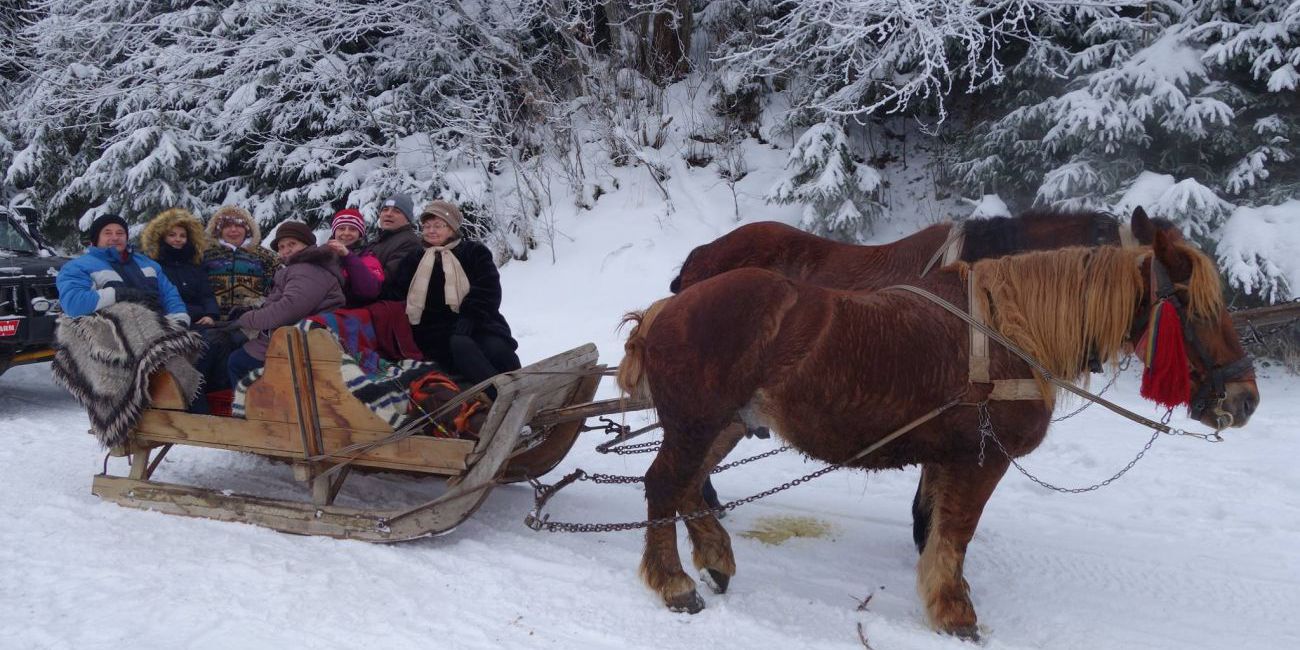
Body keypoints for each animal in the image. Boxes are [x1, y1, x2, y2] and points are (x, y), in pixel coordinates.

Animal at [618, 230, 1258, 639]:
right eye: (1193, 308)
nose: (1245, 397)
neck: (1009, 332)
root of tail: (665, 308)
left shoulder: (945, 459)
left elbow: (934, 528)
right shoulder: (981, 459)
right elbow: (954, 534)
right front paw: (955, 614)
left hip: (724, 423)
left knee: (688, 488)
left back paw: (715, 557)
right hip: (697, 424)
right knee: (664, 487)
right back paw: (674, 584)